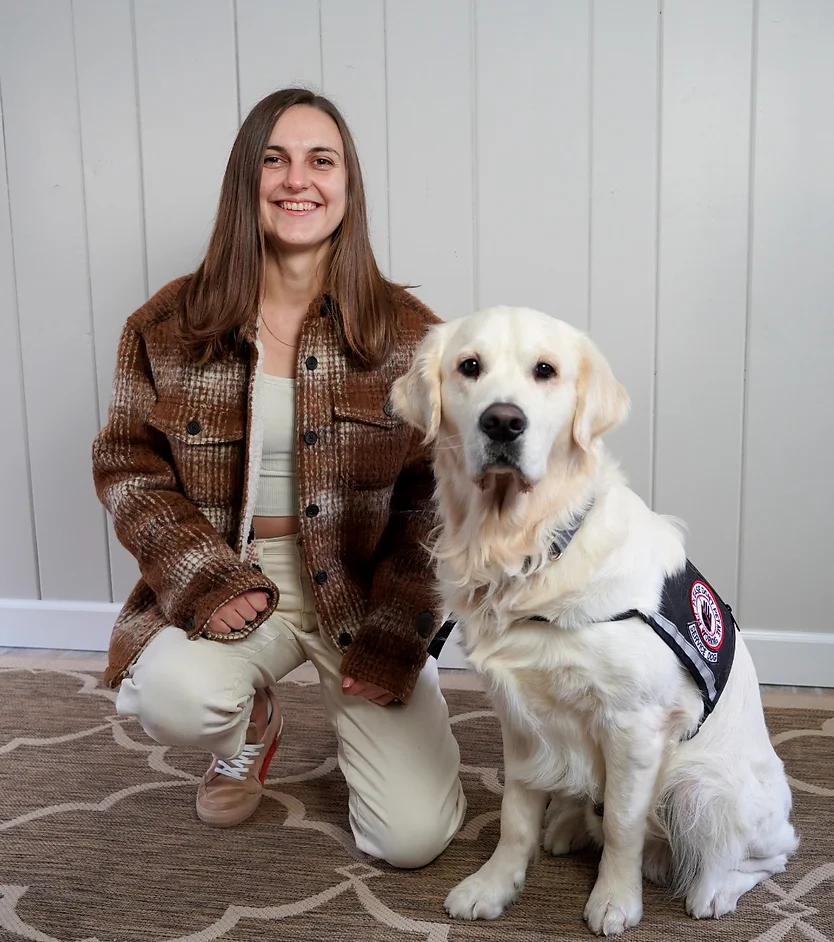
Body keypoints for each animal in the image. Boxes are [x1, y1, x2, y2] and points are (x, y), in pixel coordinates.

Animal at [388, 308, 792, 936]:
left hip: (702, 786)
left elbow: (624, 825)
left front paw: (615, 900)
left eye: (545, 370)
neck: (531, 548)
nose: (502, 422)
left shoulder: (634, 723)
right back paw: (568, 826)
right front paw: (494, 884)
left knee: (766, 854)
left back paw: (713, 890)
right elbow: (515, 814)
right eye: (469, 366)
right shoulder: (520, 715)